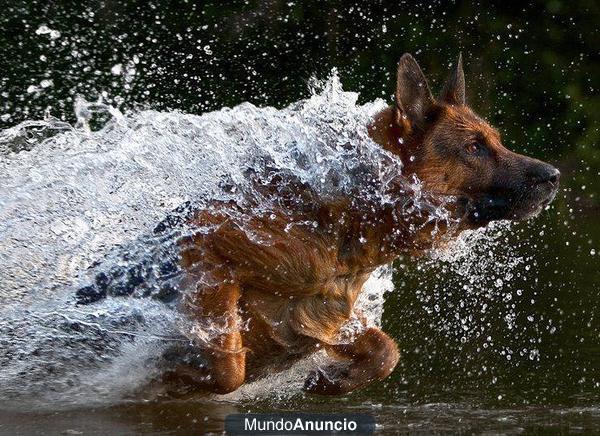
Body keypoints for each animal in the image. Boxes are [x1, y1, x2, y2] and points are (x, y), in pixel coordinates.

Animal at [162, 53, 560, 396]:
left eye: (497, 141)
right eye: (475, 147)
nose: (554, 176)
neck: (349, 218)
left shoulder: (320, 315)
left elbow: (385, 352)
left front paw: (331, 381)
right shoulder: (208, 246)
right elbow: (229, 367)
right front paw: (182, 369)